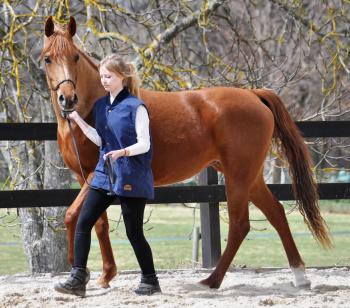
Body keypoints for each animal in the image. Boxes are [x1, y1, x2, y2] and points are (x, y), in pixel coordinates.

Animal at [41, 16, 330, 290]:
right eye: (47, 58)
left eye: (75, 57)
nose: (68, 99)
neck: (98, 105)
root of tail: (254, 94)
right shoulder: (85, 177)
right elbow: (96, 223)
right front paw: (104, 275)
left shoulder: (94, 173)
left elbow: (72, 215)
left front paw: (78, 269)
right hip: (251, 176)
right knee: (277, 214)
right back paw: (300, 276)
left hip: (238, 176)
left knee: (240, 224)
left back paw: (211, 281)